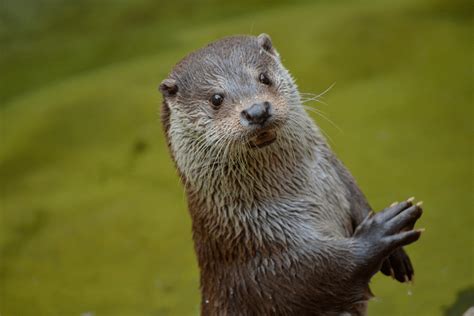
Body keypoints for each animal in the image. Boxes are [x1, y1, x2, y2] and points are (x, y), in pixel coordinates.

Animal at [158, 33, 422, 314]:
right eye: (216, 98)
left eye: (264, 77)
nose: (256, 110)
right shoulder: (262, 257)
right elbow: (319, 274)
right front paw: (381, 232)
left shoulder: (337, 173)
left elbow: (356, 196)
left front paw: (395, 254)